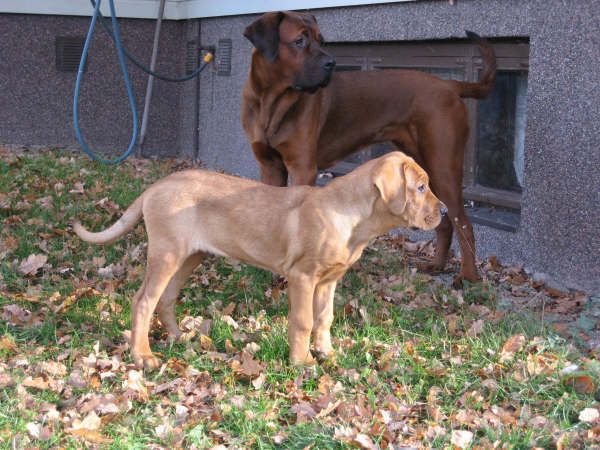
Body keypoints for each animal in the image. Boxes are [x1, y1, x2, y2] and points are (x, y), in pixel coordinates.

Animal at [73, 152, 445, 369]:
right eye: (421, 187)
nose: (444, 212)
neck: (352, 217)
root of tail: (155, 187)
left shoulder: (328, 280)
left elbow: (324, 318)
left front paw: (327, 353)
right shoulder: (302, 277)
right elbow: (303, 321)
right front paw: (302, 363)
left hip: (189, 256)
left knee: (165, 298)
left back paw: (178, 337)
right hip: (166, 254)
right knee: (143, 301)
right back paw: (143, 356)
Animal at [241, 11, 497, 288]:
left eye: (321, 41)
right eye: (299, 40)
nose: (331, 63)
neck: (271, 102)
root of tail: (449, 84)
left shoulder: (302, 167)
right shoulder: (269, 166)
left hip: (443, 165)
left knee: (464, 223)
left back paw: (469, 277)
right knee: (445, 222)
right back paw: (437, 265)